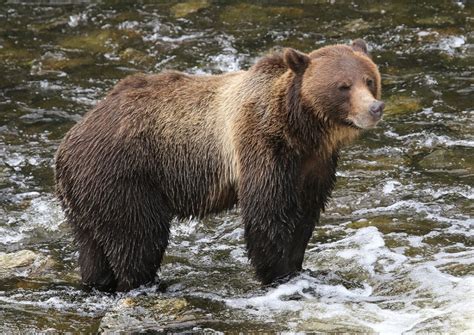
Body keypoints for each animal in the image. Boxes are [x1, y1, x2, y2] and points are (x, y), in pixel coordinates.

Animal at [55, 38, 384, 292]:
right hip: (123, 177)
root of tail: (67, 143)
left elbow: (305, 215)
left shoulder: (314, 166)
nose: (375, 108)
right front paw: (277, 274)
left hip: (85, 200)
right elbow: (267, 214)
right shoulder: (261, 146)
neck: (301, 130)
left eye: (369, 80)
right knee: (138, 238)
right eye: (343, 86)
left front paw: (299, 267)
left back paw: (98, 282)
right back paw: (146, 283)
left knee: (92, 248)